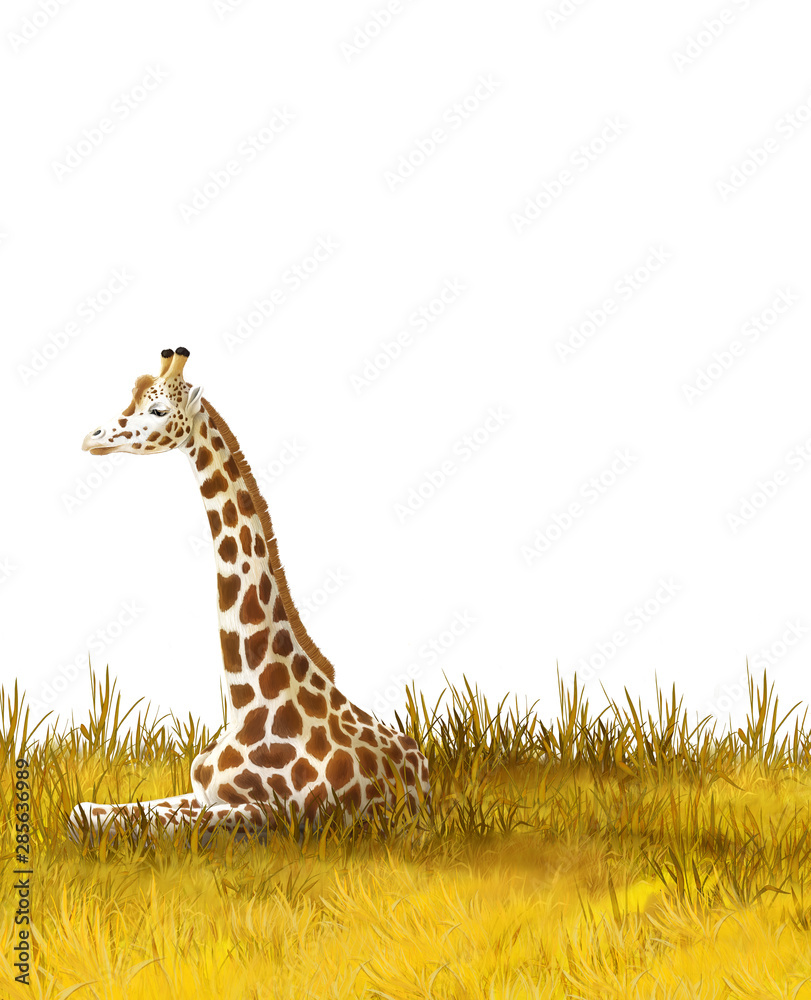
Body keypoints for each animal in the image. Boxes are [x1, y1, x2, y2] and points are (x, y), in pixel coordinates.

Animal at [67, 347, 431, 846]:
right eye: (132, 398)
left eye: (158, 410)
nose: (92, 437)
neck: (249, 699)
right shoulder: (201, 790)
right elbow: (86, 812)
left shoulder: (281, 815)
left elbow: (115, 820)